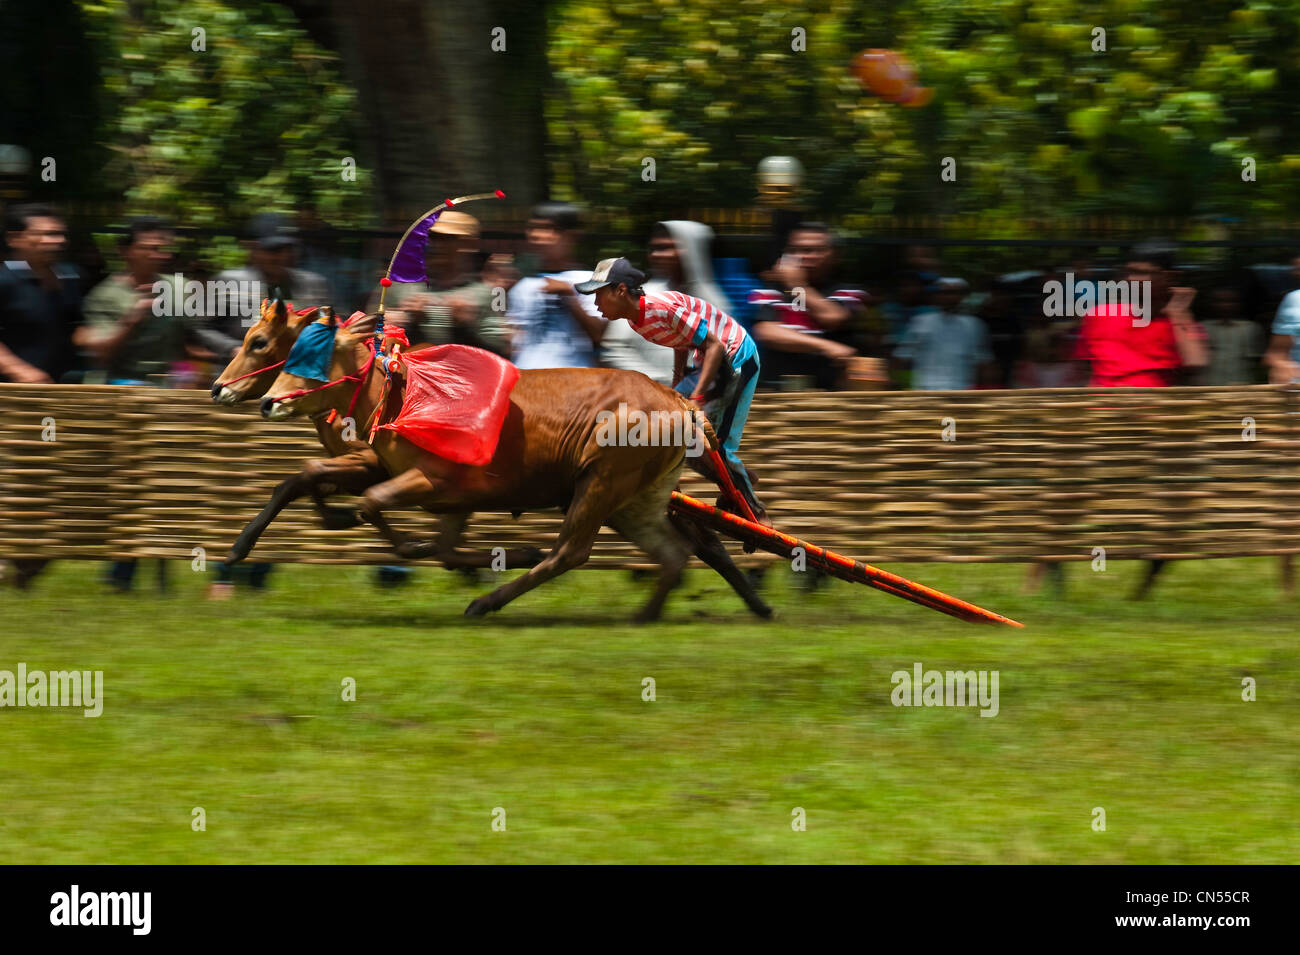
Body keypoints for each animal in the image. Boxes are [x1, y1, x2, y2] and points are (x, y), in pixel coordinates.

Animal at [263, 314, 769, 623]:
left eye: (311, 356)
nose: (268, 400)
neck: (403, 393)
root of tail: (679, 402)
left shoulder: (432, 480)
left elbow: (374, 504)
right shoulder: (452, 498)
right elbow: (436, 544)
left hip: (601, 482)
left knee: (572, 552)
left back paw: (486, 602)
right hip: (635, 500)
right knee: (675, 552)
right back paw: (646, 614)